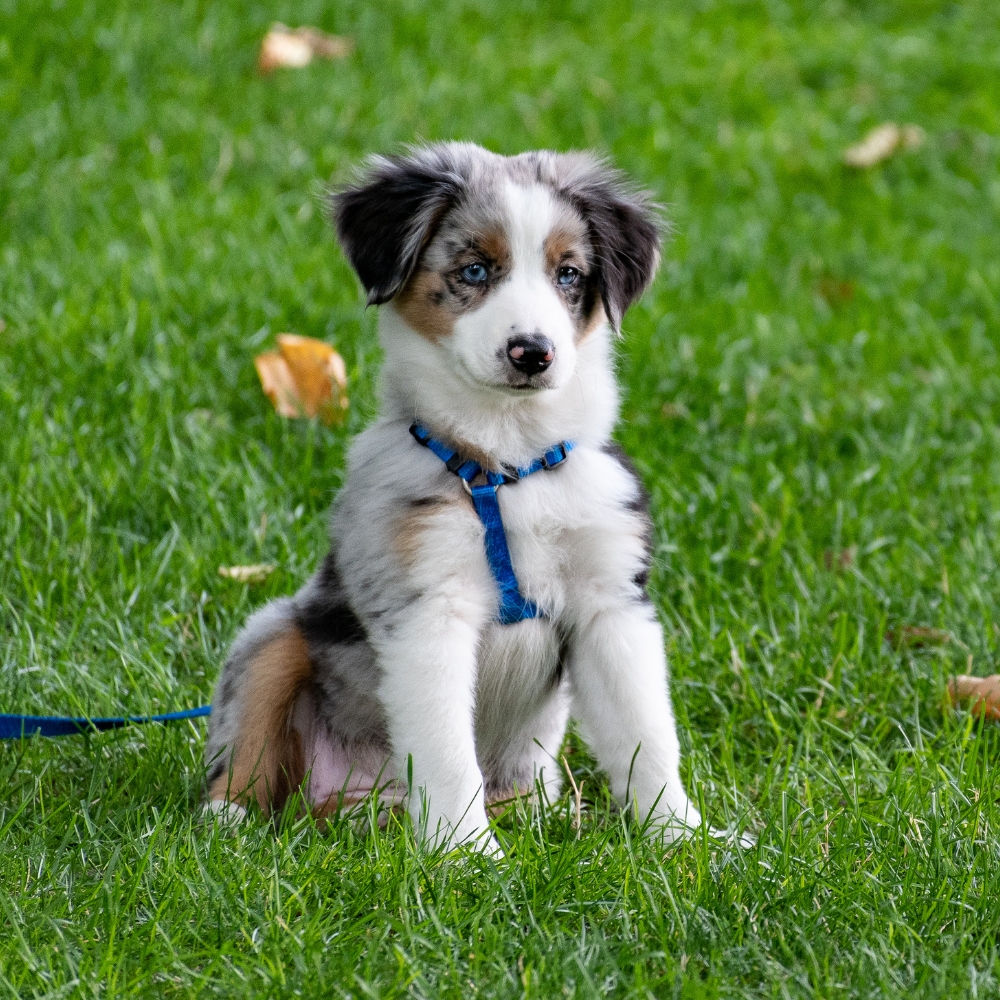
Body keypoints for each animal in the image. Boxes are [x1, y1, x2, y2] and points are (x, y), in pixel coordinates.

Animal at [203, 143, 704, 852]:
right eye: (474, 269)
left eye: (569, 274)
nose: (533, 353)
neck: (509, 465)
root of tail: (353, 803)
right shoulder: (427, 610)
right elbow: (444, 751)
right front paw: (467, 855)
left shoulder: (611, 603)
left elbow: (647, 736)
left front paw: (688, 841)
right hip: (274, 635)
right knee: (246, 747)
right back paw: (230, 821)